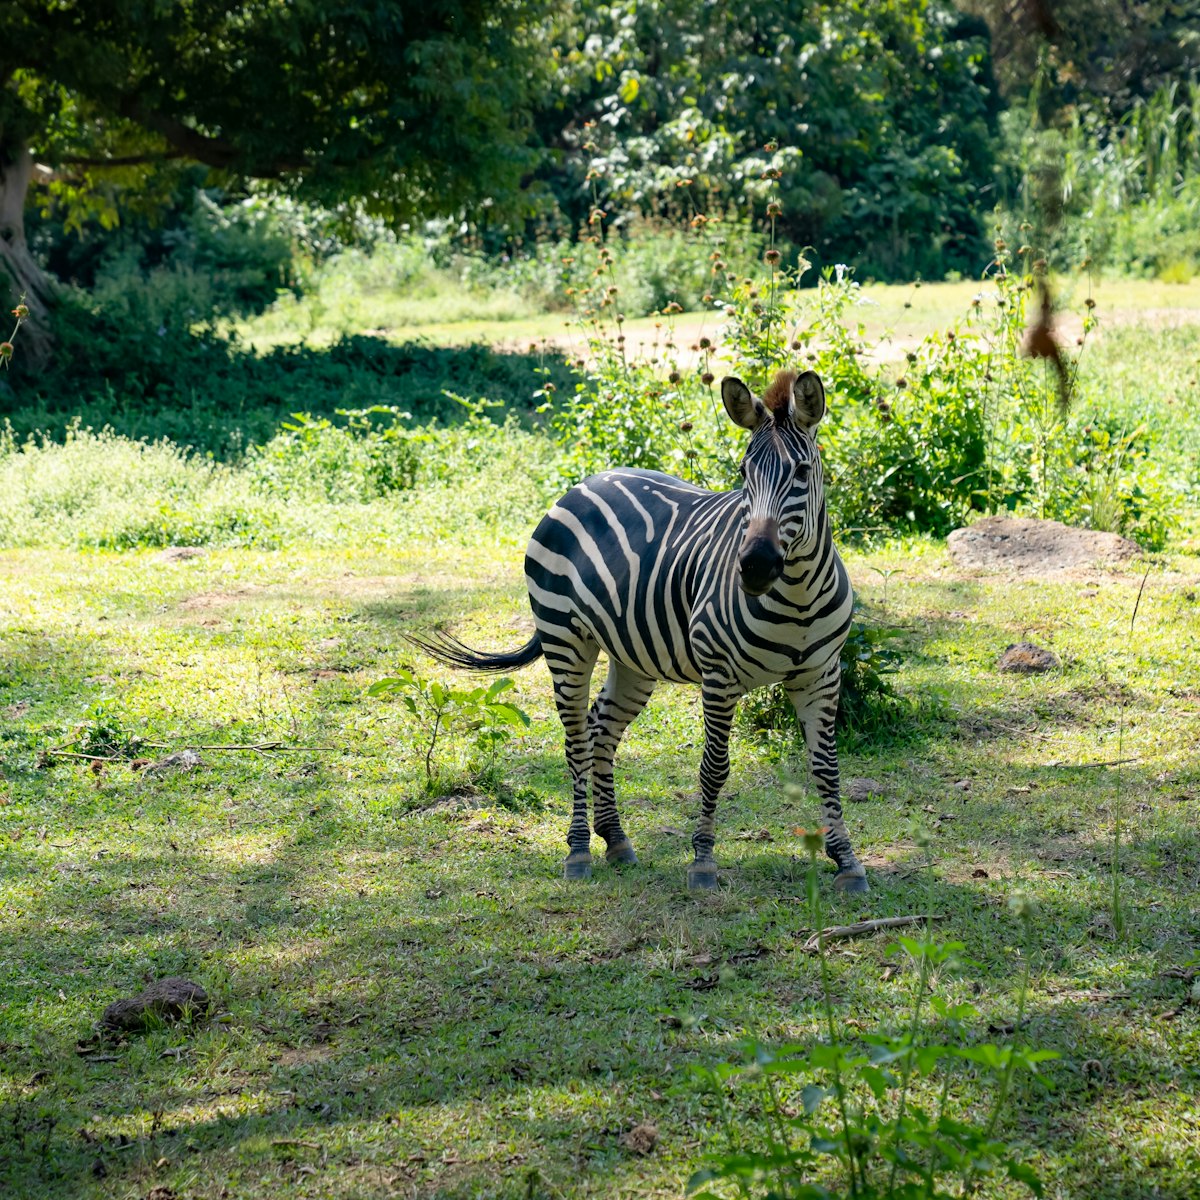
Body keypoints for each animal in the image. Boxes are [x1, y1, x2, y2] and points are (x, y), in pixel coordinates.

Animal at [412, 364, 864, 892]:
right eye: (743, 474)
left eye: (803, 473)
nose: (753, 566)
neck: (796, 596)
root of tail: (581, 485)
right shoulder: (718, 676)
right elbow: (714, 768)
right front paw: (703, 861)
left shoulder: (821, 675)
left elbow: (827, 767)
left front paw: (847, 861)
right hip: (566, 641)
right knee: (577, 740)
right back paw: (579, 851)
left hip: (631, 657)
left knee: (601, 730)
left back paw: (616, 839)